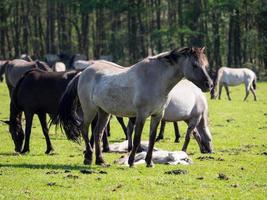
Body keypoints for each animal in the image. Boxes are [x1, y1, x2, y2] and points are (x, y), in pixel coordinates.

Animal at [52, 47, 214, 167]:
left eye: (205, 65)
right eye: (194, 65)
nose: (210, 85)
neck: (156, 79)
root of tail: (82, 73)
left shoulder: (158, 115)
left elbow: (152, 138)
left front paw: (149, 162)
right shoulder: (141, 115)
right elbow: (136, 139)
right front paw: (131, 161)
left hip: (104, 112)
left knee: (98, 133)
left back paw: (100, 160)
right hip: (89, 110)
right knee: (85, 130)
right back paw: (88, 158)